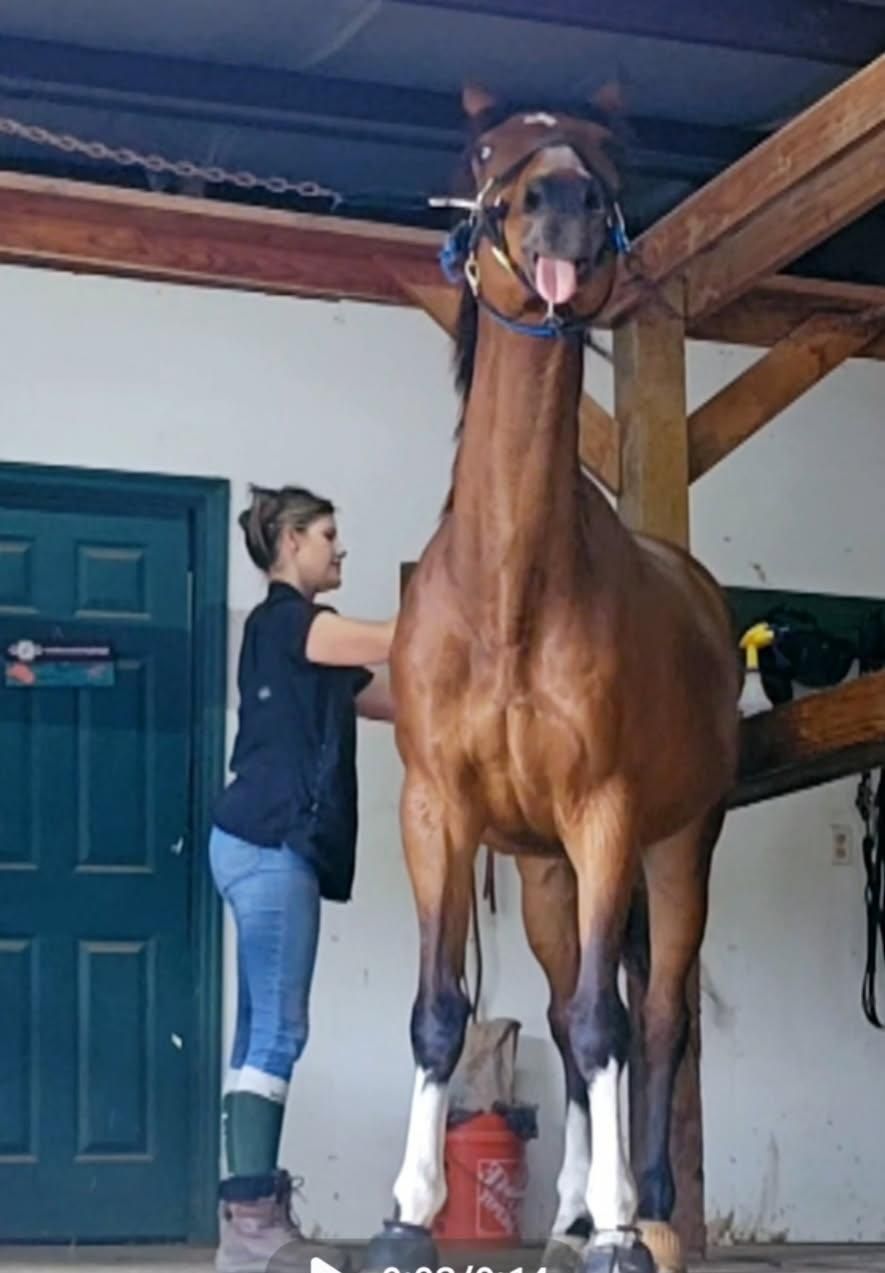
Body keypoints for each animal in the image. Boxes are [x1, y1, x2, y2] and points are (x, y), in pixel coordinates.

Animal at [364, 84, 741, 1273]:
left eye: (609, 154)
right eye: (487, 149)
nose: (562, 202)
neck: (510, 597)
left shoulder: (606, 816)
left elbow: (605, 1020)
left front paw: (622, 1224)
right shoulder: (438, 812)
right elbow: (443, 1010)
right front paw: (406, 1212)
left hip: (674, 848)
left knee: (649, 1015)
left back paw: (643, 1204)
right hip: (540, 876)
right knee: (569, 1014)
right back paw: (572, 1206)